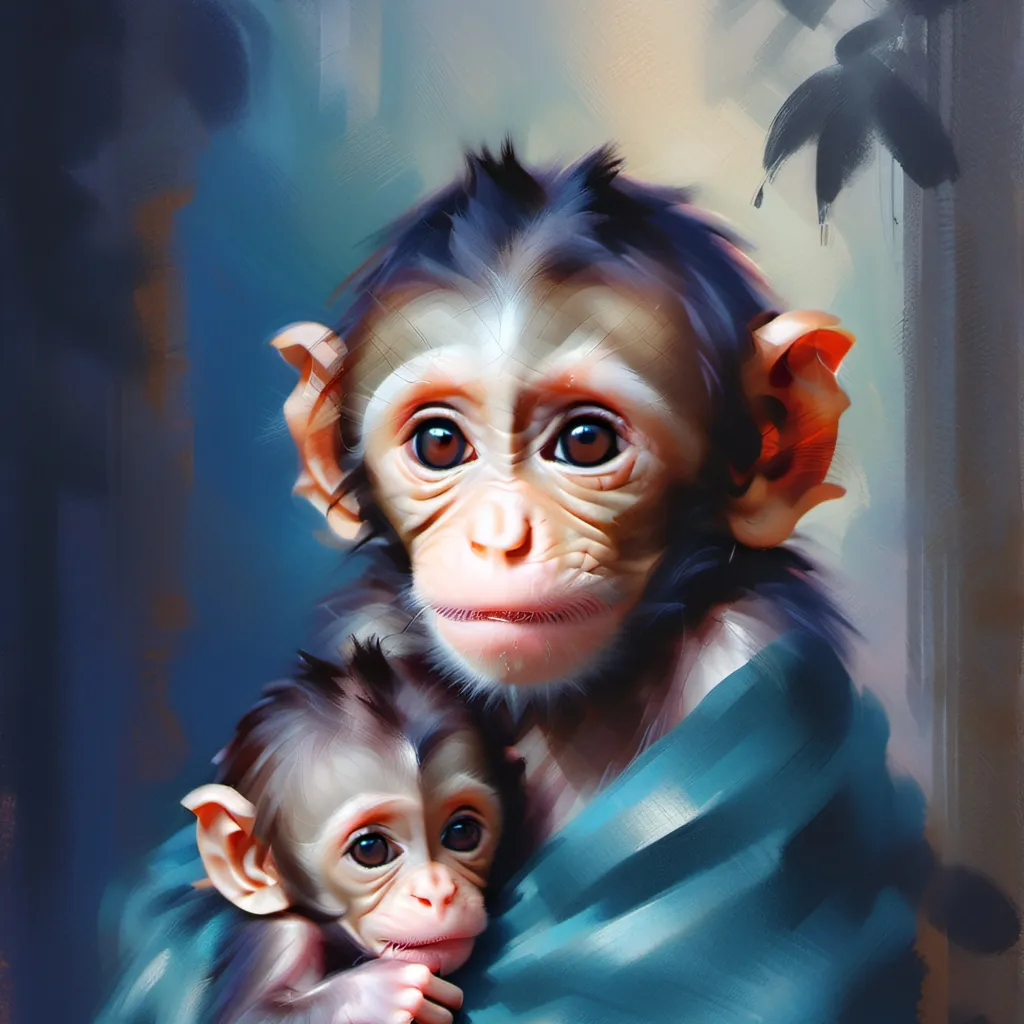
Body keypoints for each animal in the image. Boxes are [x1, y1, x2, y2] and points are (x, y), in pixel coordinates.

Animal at [177, 642, 528, 1024]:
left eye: (462, 832)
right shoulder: (281, 938)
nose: (436, 892)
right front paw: (378, 994)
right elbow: (248, 1015)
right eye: (370, 849)